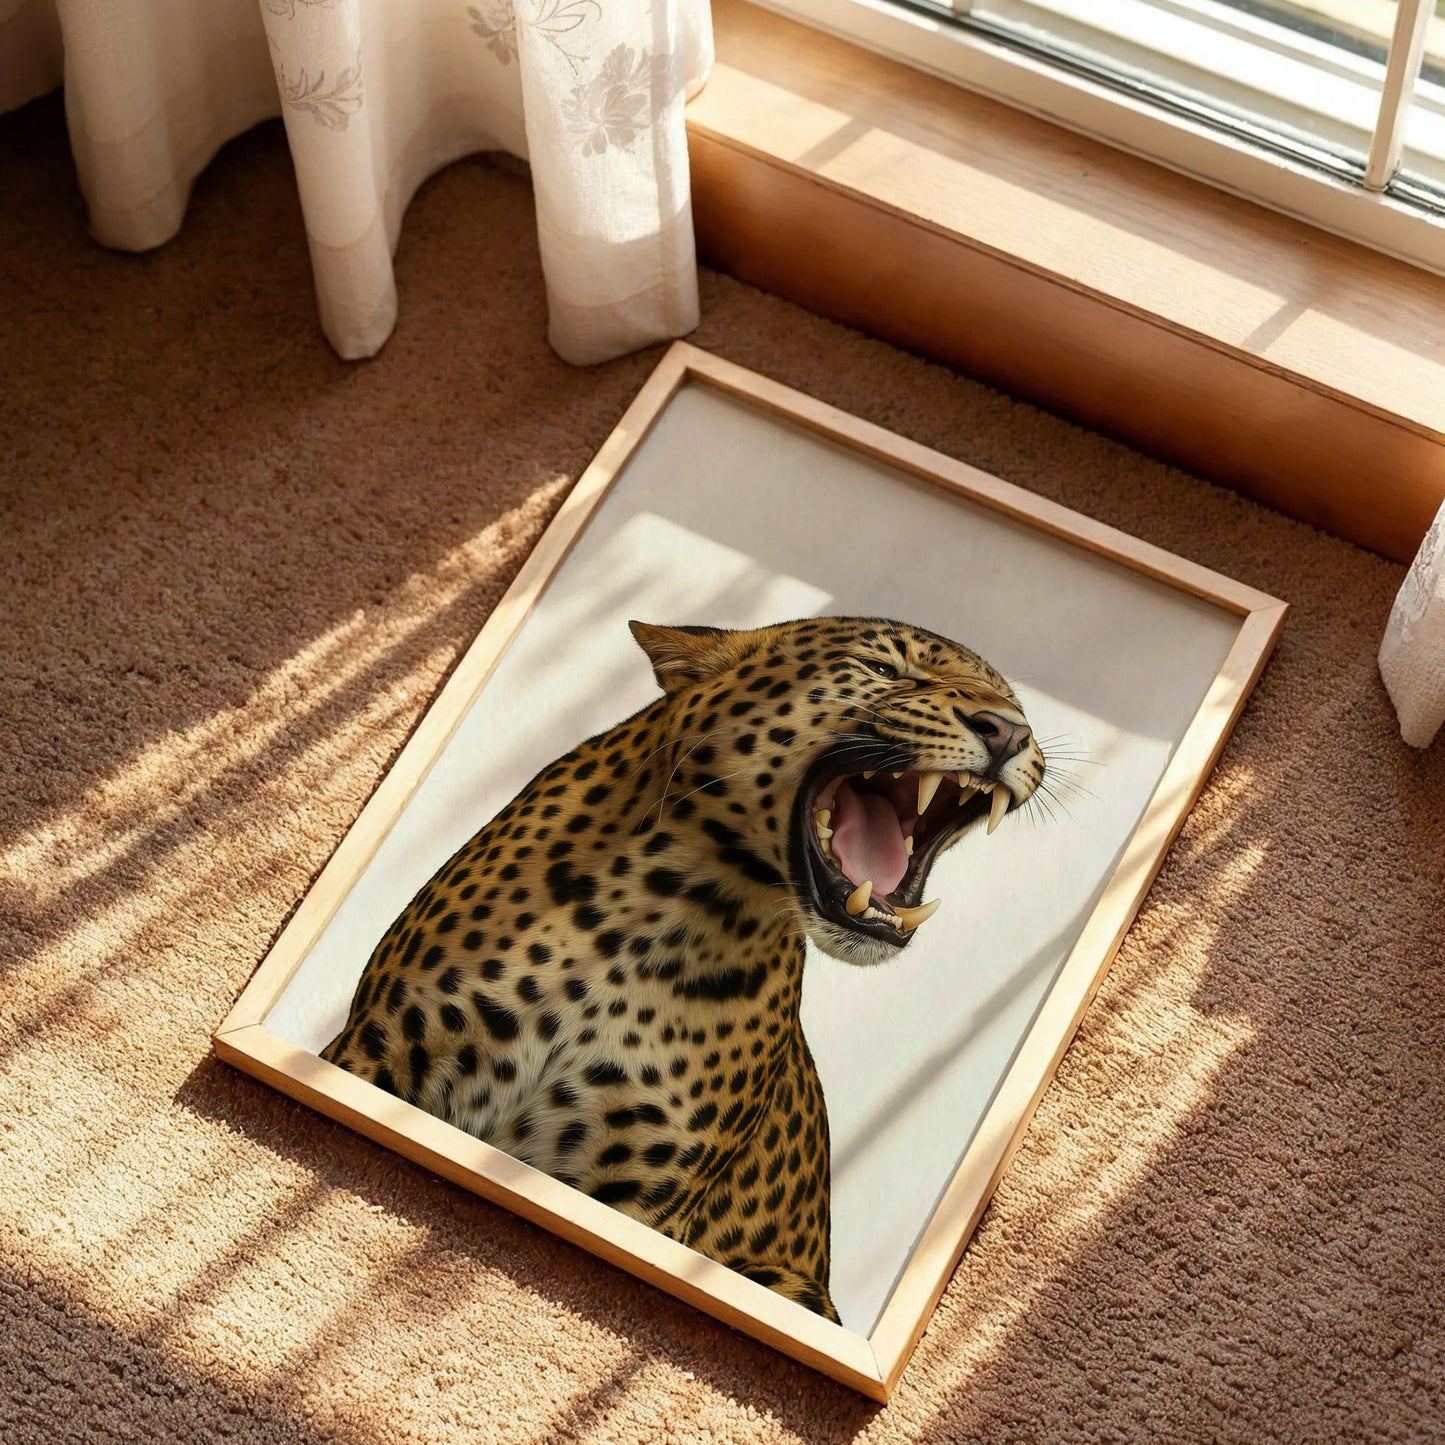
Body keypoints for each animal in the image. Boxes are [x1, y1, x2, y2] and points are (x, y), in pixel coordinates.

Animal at [321, 616, 1046, 1322]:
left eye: (1012, 704)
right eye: (885, 667)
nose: (1010, 730)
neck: (652, 920)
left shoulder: (642, 1192)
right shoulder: (375, 1053)